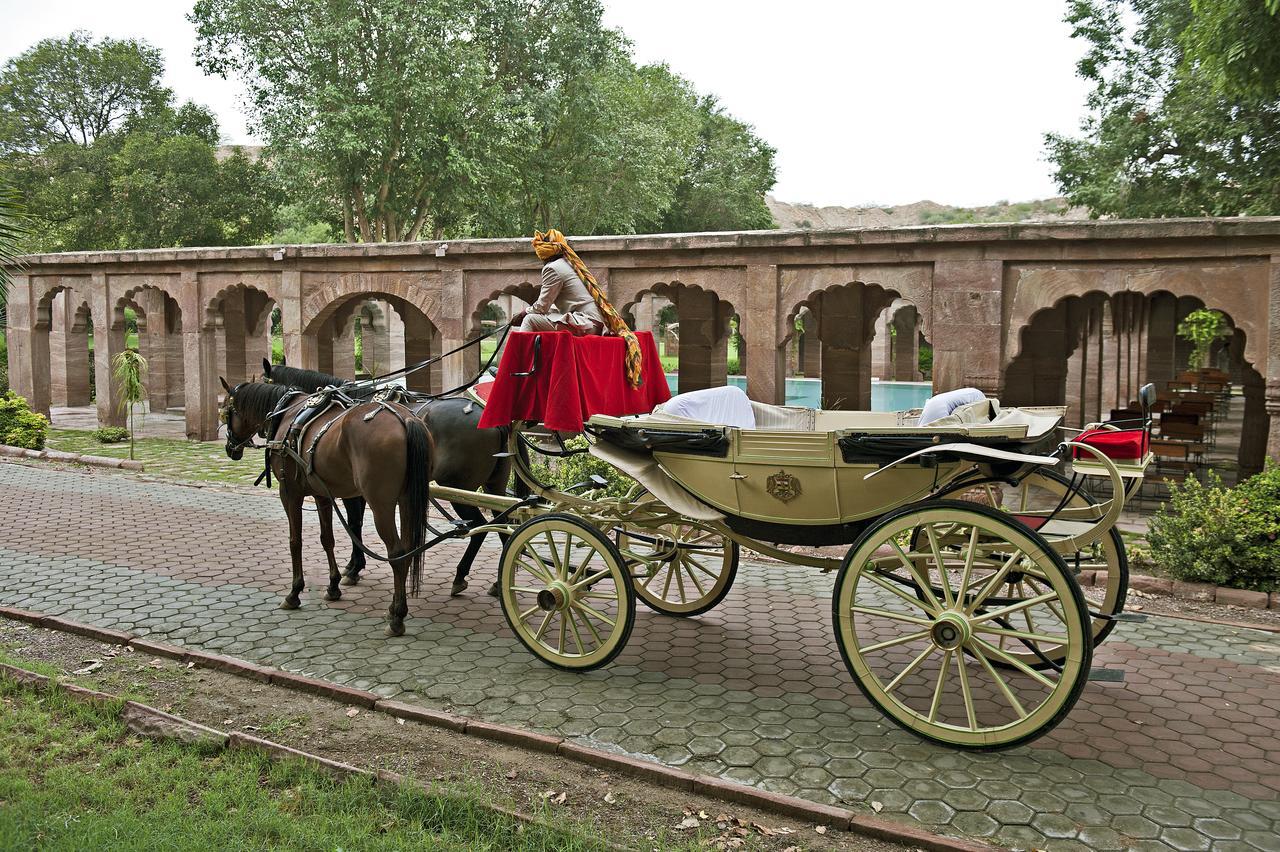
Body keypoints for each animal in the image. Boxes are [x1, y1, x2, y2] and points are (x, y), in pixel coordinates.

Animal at [220, 376, 435, 634]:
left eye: (225, 412)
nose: (230, 448)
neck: (287, 412)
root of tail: (406, 418)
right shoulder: (322, 495)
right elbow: (327, 539)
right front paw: (333, 586)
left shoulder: (289, 493)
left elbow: (295, 541)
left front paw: (294, 592)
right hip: (406, 499)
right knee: (409, 548)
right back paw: (394, 607)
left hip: (380, 504)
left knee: (397, 554)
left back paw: (397, 617)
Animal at [259, 360, 514, 596]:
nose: (259, 432)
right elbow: (355, 524)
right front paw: (353, 566)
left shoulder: (351, 491)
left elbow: (354, 523)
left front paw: (352, 568)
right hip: (493, 485)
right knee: (504, 521)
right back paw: (497, 583)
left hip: (458, 488)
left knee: (481, 525)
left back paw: (462, 576)